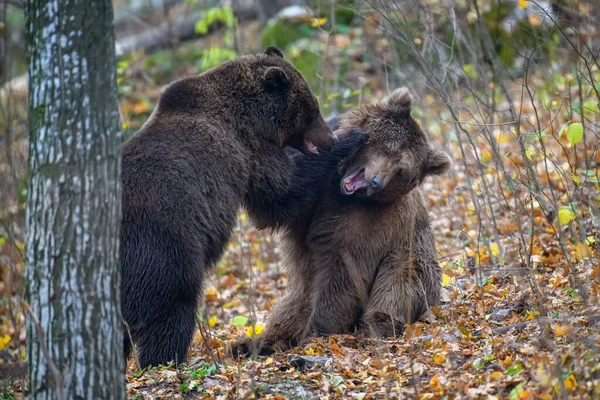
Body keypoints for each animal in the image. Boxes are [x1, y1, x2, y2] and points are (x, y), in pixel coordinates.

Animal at [120, 47, 366, 368]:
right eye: (312, 109)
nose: (330, 138)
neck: (249, 115)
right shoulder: (247, 151)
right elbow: (282, 191)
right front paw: (353, 136)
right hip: (164, 247)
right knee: (173, 308)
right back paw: (168, 360)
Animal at [229, 87, 450, 356]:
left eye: (402, 170)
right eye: (387, 149)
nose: (376, 181)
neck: (343, 193)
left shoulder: (370, 224)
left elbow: (343, 275)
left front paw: (316, 334)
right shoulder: (314, 198)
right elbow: (279, 198)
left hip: (417, 265)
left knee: (397, 279)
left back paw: (375, 327)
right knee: (288, 309)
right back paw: (252, 343)